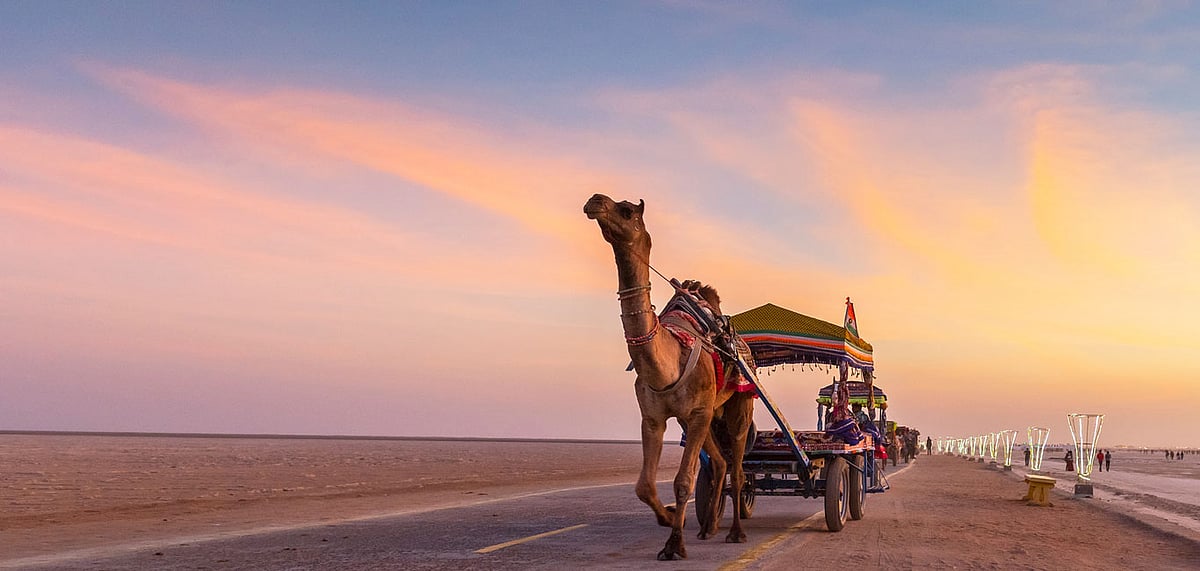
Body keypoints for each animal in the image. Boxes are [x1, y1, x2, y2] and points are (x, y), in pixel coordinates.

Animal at [584, 194, 755, 561]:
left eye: (626, 210)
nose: (594, 200)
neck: (668, 363)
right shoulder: (654, 417)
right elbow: (644, 486)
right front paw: (670, 518)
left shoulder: (698, 411)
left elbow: (682, 481)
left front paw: (674, 544)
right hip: (704, 416)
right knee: (720, 463)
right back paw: (709, 526)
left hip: (738, 404)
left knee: (737, 467)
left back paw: (735, 532)